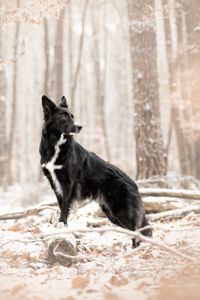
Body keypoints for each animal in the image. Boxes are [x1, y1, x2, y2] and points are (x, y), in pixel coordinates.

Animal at [39, 96, 152, 246]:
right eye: (63, 117)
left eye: (72, 116)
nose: (80, 126)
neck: (56, 144)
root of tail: (134, 183)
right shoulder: (54, 183)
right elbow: (61, 204)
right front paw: (62, 225)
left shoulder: (68, 183)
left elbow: (64, 206)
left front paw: (62, 224)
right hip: (111, 213)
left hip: (121, 211)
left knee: (139, 231)